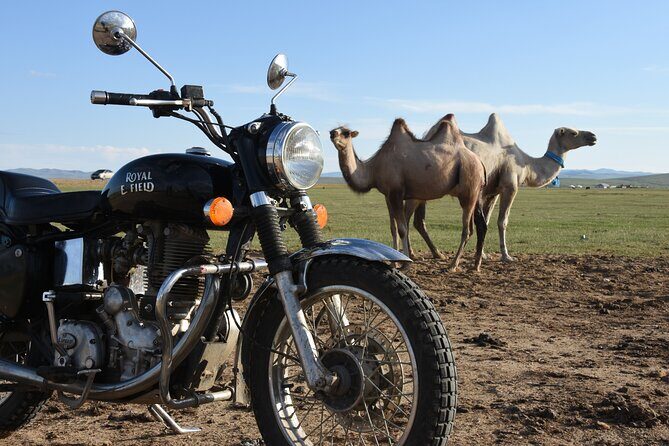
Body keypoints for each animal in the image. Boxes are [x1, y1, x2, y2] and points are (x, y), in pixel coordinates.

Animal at [330, 115, 488, 271]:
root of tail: (480, 162)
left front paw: (405, 264)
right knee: (476, 226)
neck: (374, 168)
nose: (332, 133)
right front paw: (393, 262)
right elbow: (393, 228)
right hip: (474, 194)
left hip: (469, 189)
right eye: (333, 130)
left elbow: (402, 229)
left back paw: (452, 265)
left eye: (346, 133)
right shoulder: (387, 195)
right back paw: (475, 265)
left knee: (466, 230)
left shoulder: (396, 192)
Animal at [406, 113, 597, 262]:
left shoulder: (492, 192)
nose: (593, 136)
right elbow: (502, 221)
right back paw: (410, 253)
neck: (526, 164)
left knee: (418, 220)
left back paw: (433, 254)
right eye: (573, 132)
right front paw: (506, 256)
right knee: (407, 216)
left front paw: (483, 255)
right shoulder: (509, 186)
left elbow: (486, 221)